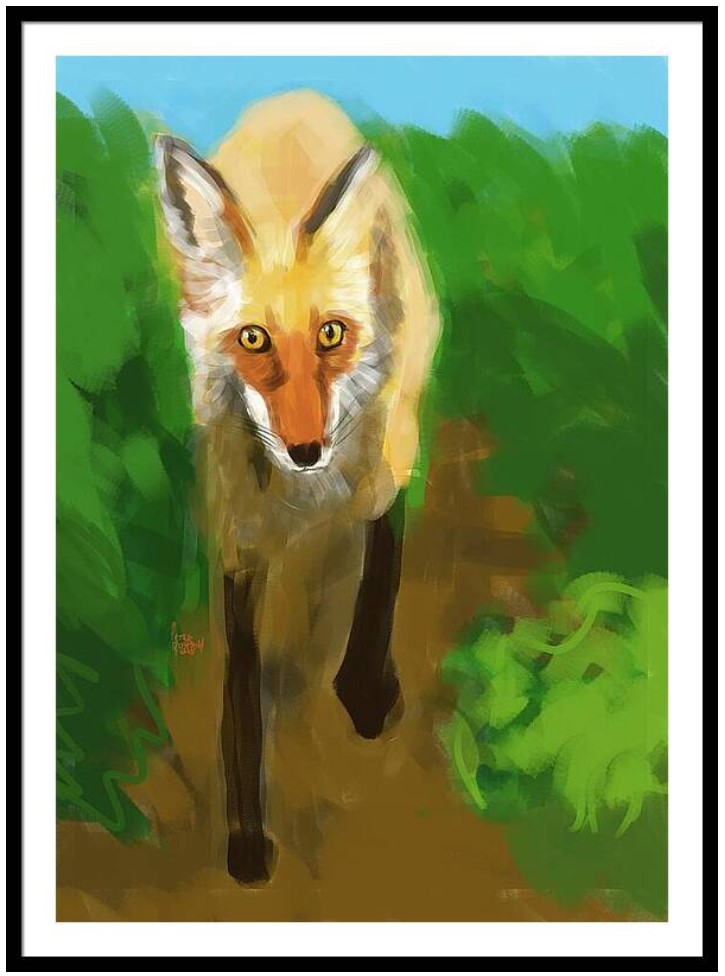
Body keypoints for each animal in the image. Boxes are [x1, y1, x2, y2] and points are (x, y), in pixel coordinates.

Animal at [155, 90, 440, 883]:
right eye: (253, 339)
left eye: (331, 334)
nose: (305, 449)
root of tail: (296, 98)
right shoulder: (238, 540)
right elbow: (241, 695)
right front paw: (247, 837)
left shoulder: (385, 471)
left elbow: (382, 566)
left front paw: (365, 689)